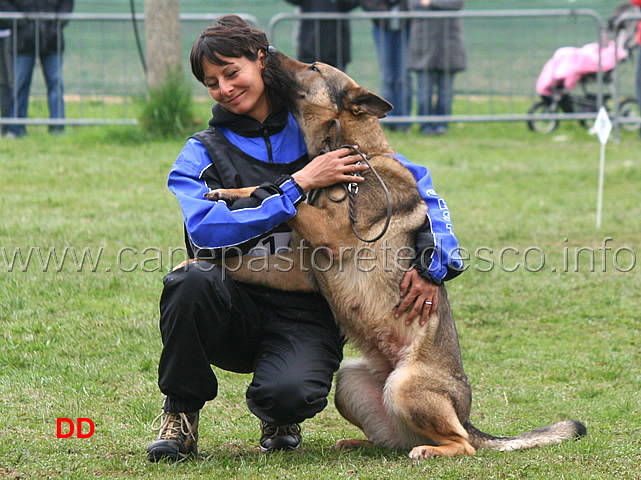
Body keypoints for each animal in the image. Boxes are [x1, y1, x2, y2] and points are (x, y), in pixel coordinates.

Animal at [206, 51, 584, 458]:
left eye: (314, 67)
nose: (268, 51)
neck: (354, 151)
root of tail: (465, 415)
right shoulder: (297, 271)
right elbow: (254, 234)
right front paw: (202, 247)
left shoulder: (327, 234)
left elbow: (284, 192)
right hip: (350, 382)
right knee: (393, 440)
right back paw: (360, 442)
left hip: (404, 388)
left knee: (462, 444)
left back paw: (432, 451)